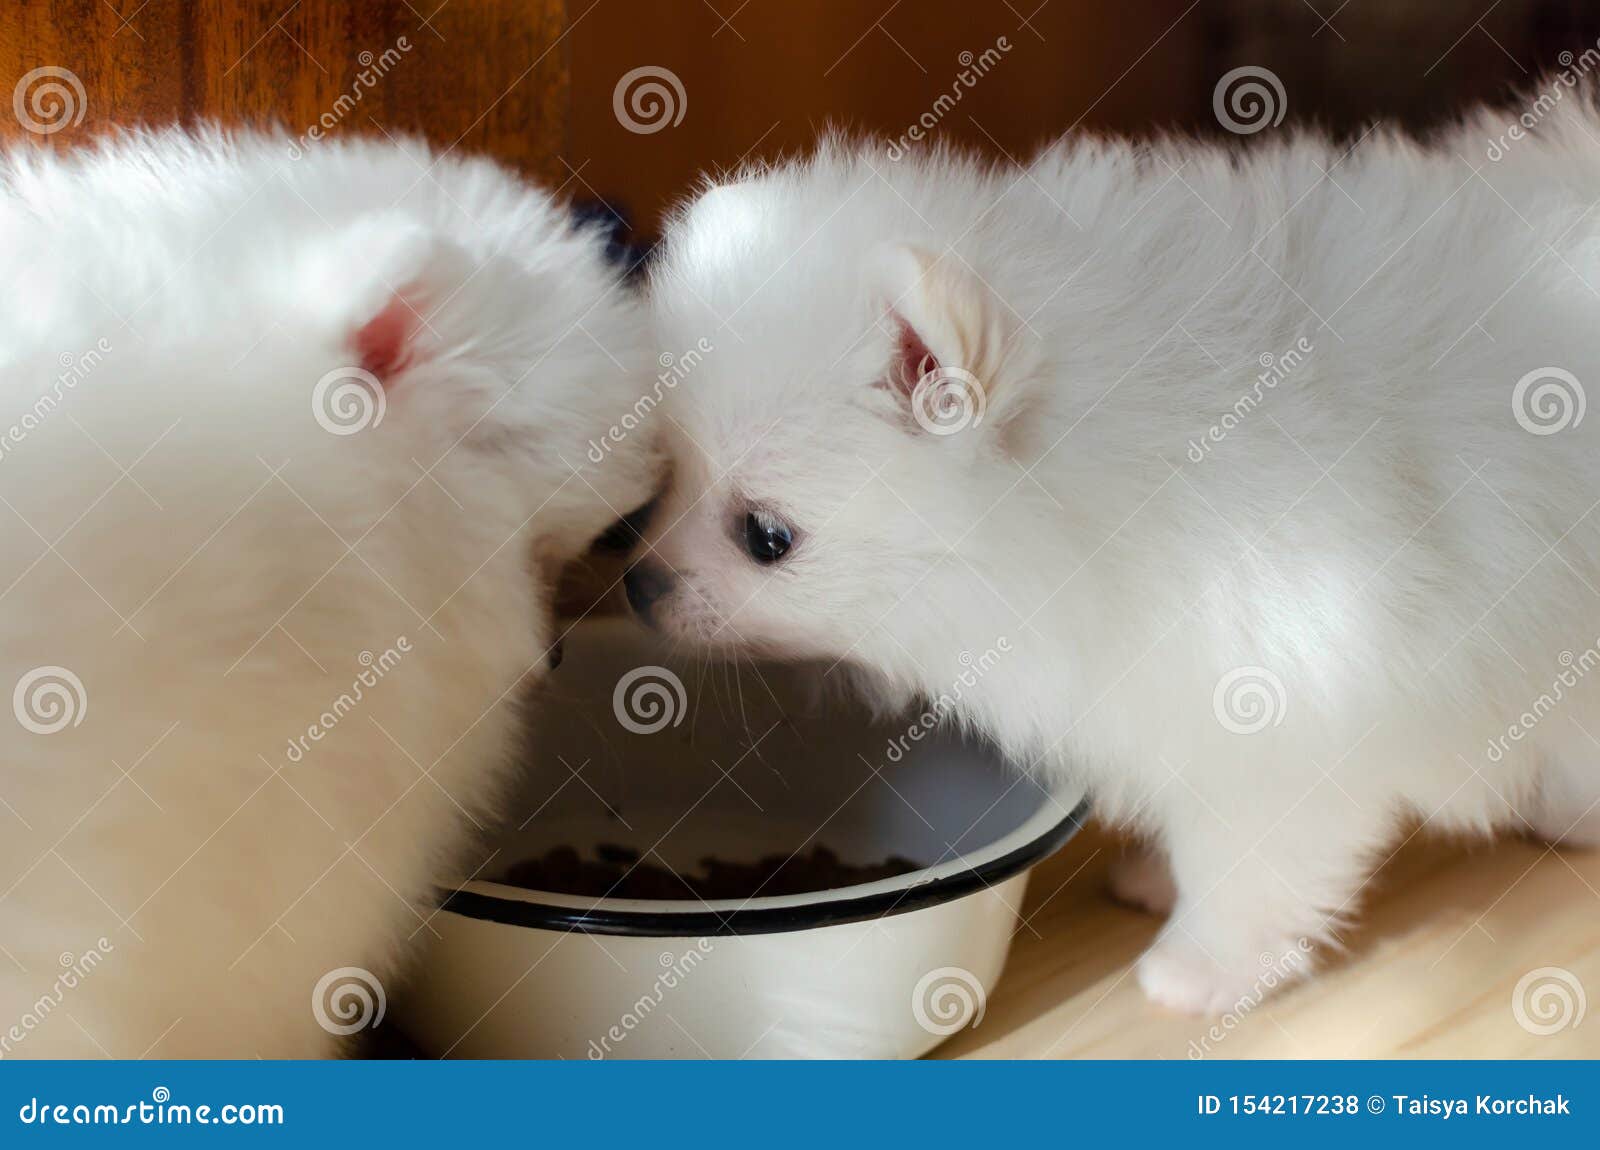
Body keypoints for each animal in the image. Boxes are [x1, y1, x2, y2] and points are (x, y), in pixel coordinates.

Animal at [640, 101, 1600, 1017]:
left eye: (767, 537)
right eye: (668, 479)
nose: (638, 582)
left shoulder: (1285, 708)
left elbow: (1250, 863)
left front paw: (1201, 970)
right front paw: (1158, 882)